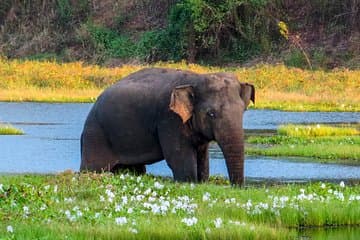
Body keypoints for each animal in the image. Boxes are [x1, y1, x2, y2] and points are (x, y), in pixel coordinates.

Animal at [80, 67, 255, 186]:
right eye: (211, 114)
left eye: (243, 111)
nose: (236, 188)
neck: (196, 78)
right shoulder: (169, 119)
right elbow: (179, 158)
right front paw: (189, 182)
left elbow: (203, 159)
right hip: (96, 135)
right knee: (93, 167)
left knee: (135, 170)